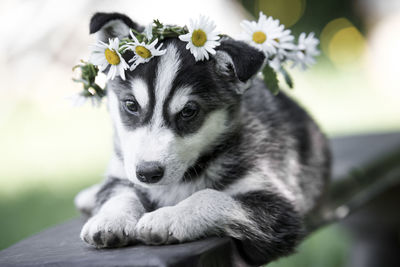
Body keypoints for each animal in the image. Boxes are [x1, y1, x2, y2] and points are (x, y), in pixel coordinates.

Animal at [76, 12, 332, 266]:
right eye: (130, 105)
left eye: (189, 111)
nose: (148, 173)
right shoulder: (123, 173)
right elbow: (120, 193)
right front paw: (110, 219)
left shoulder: (279, 209)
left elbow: (210, 196)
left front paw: (168, 217)